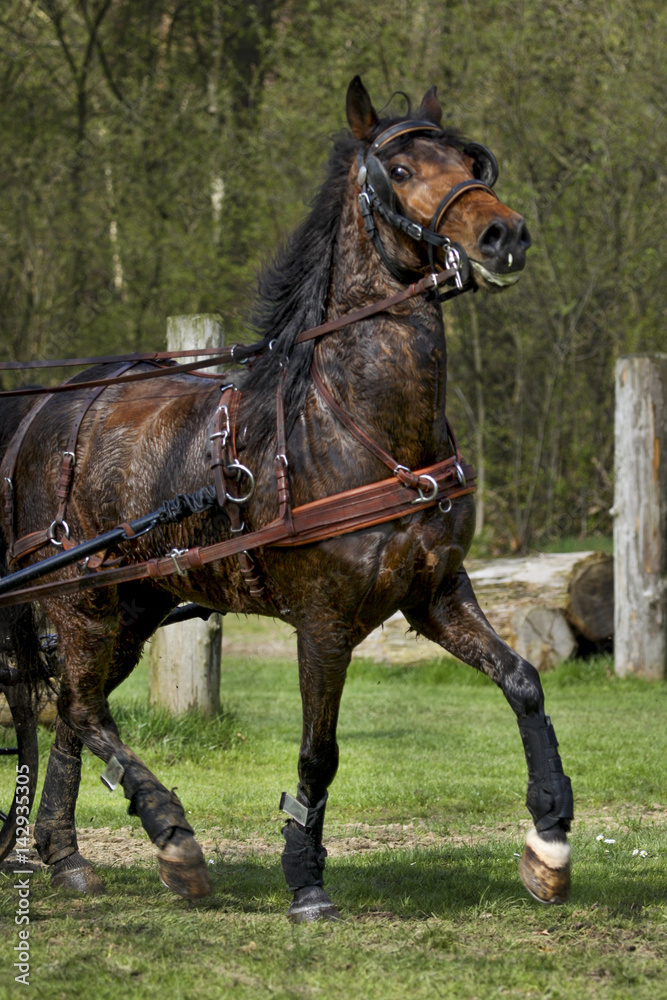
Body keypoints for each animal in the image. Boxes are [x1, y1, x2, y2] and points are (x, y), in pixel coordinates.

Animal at [0, 77, 572, 922]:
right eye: (400, 170)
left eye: (471, 162)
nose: (503, 234)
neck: (355, 425)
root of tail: (49, 407)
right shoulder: (324, 621)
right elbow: (318, 752)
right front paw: (304, 878)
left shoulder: (436, 593)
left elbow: (522, 682)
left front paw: (549, 841)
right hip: (77, 599)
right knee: (75, 708)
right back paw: (170, 834)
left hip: (127, 605)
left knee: (70, 706)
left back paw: (67, 856)